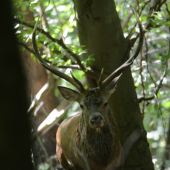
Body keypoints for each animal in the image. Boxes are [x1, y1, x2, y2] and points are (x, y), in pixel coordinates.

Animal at [32, 14, 143, 170]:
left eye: (105, 102)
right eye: (81, 105)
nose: (96, 119)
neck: (102, 163)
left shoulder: (120, 163)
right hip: (63, 160)